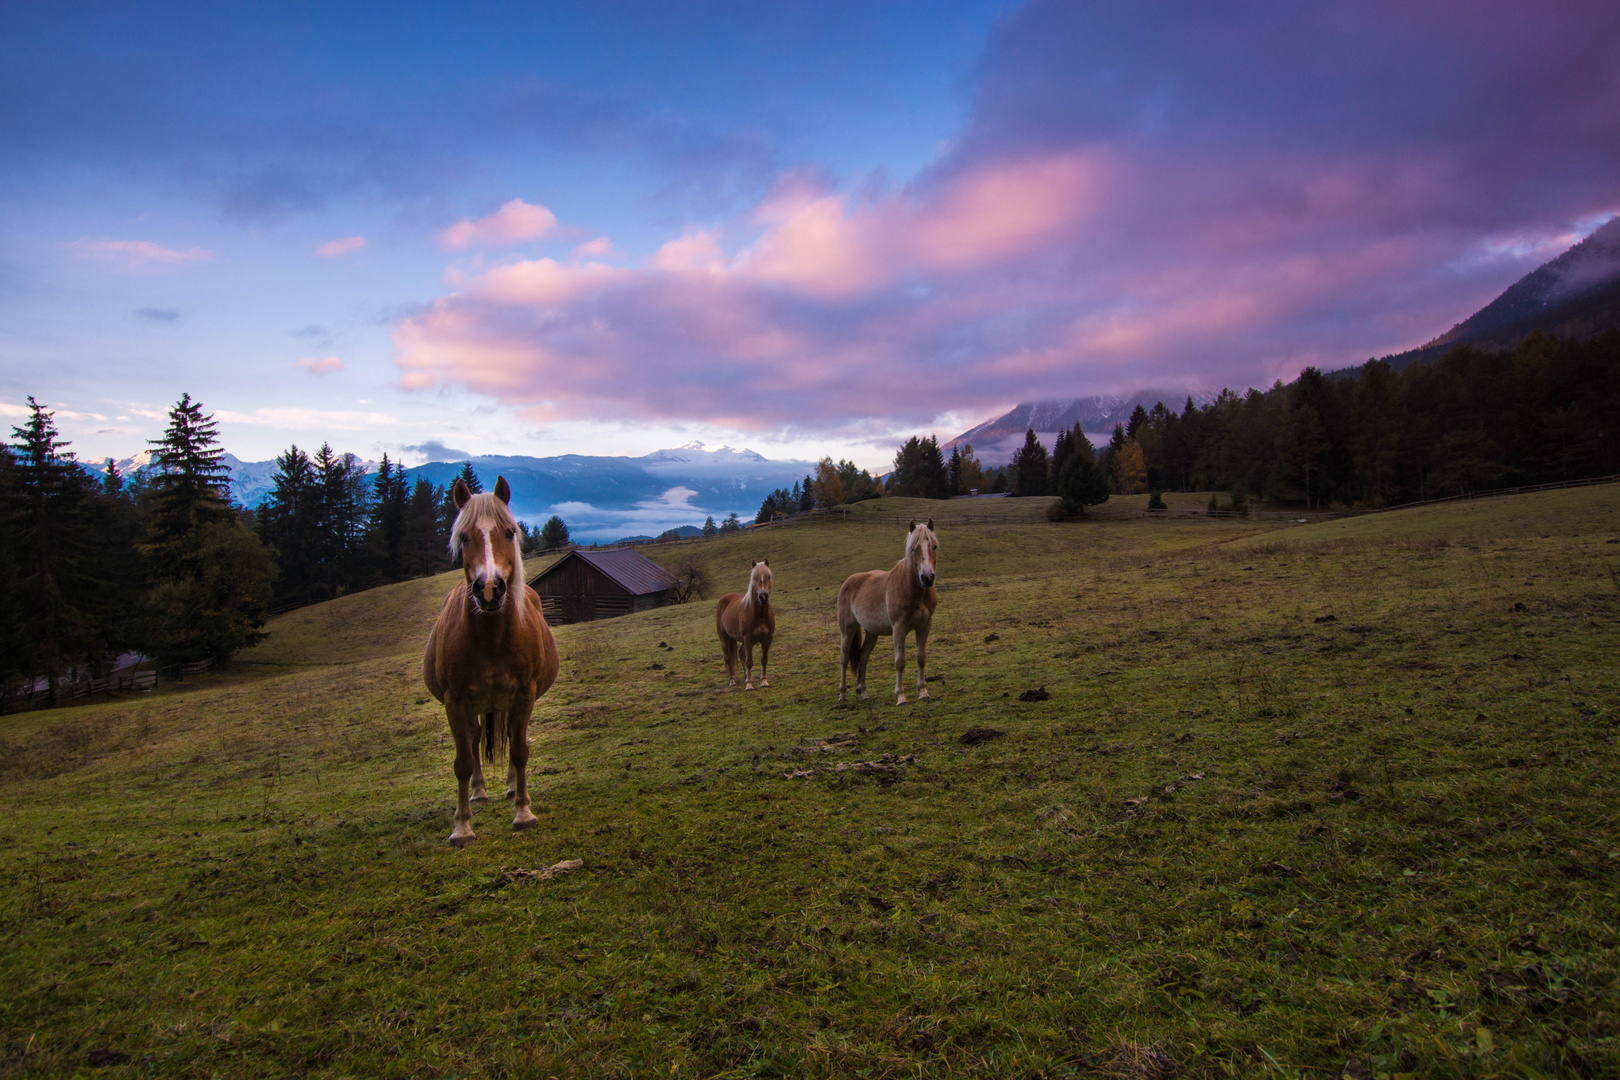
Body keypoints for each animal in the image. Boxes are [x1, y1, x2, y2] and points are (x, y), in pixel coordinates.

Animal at [424, 479, 563, 841]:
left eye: (510, 532)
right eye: (463, 536)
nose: (489, 588)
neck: (491, 639)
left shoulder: (524, 695)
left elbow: (519, 751)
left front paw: (524, 812)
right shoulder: (454, 701)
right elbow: (462, 761)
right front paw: (462, 826)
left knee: (513, 738)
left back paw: (513, 789)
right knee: (473, 743)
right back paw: (479, 792)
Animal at [835, 518, 939, 705]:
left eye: (934, 546)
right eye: (913, 548)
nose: (927, 578)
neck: (913, 589)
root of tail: (848, 582)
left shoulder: (924, 625)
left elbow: (921, 658)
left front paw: (923, 692)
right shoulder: (899, 628)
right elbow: (900, 661)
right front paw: (901, 696)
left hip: (871, 632)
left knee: (863, 655)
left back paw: (863, 692)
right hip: (847, 630)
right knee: (844, 659)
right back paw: (842, 695)